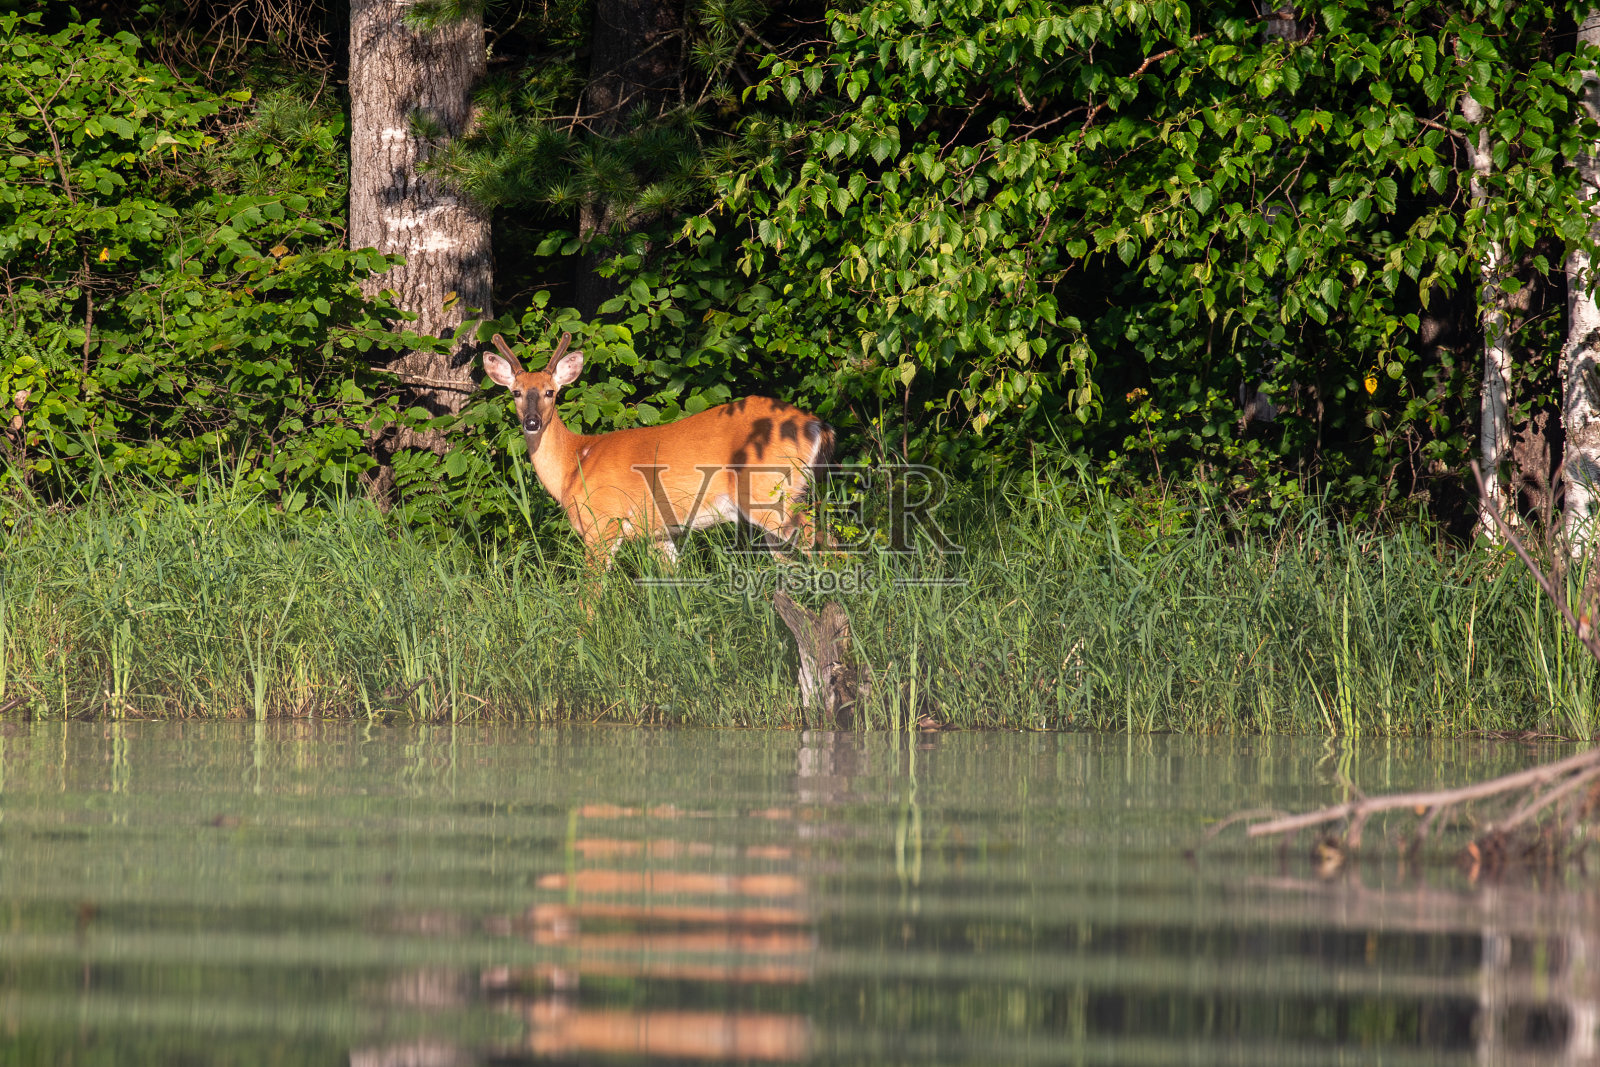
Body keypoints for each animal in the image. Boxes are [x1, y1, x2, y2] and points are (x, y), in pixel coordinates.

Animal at [482, 332, 834, 567]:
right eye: (515, 392)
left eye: (550, 392)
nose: (531, 422)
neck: (574, 462)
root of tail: (816, 424)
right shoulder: (657, 533)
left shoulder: (604, 521)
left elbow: (589, 601)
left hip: (767, 491)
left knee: (823, 538)